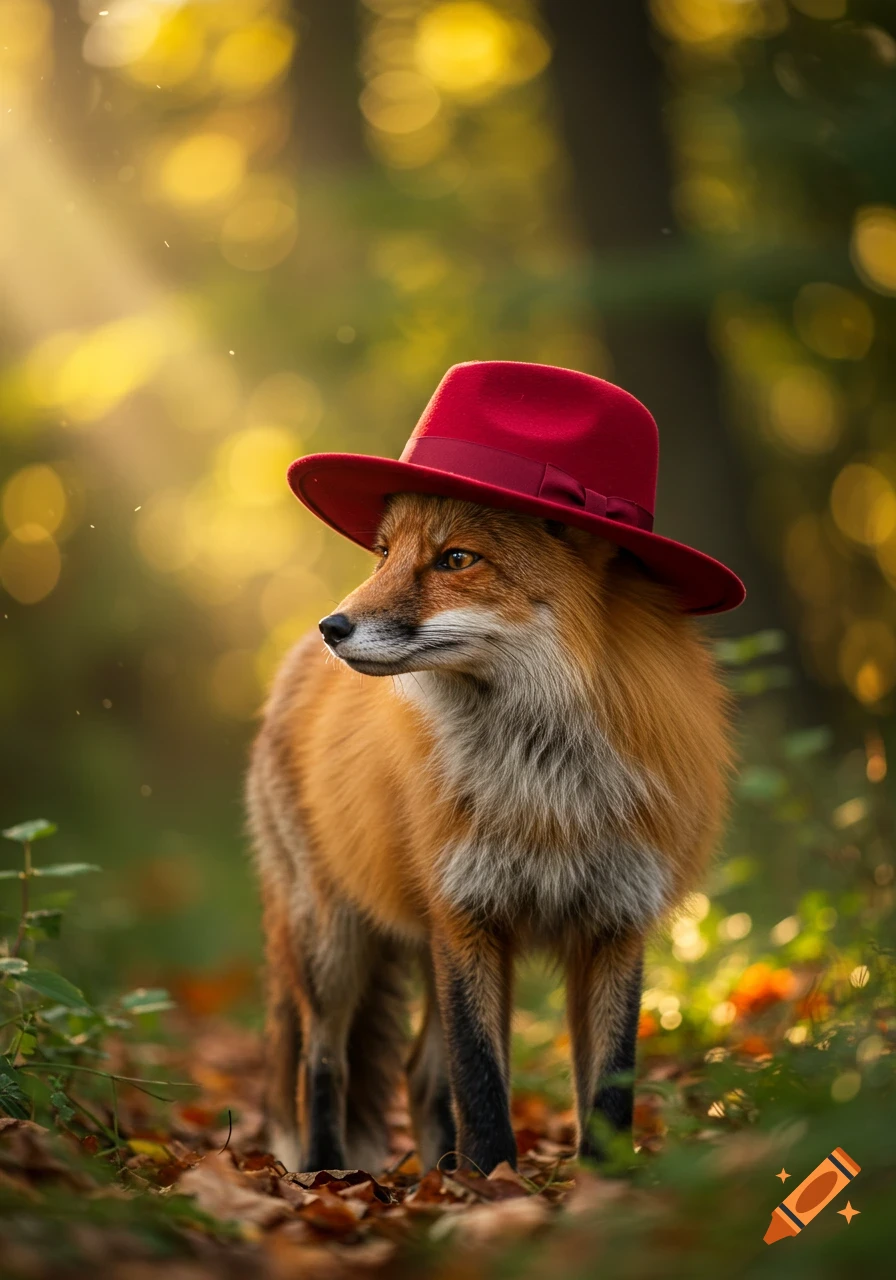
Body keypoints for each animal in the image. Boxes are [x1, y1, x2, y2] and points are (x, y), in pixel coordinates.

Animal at [246, 493, 733, 1176]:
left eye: (456, 559)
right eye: (385, 553)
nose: (331, 627)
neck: (543, 785)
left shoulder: (614, 921)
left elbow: (609, 1087)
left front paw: (601, 1180)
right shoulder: (465, 913)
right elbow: (479, 1078)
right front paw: (491, 1178)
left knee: (420, 1075)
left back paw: (436, 1174)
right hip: (332, 943)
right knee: (323, 1063)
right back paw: (327, 1172)